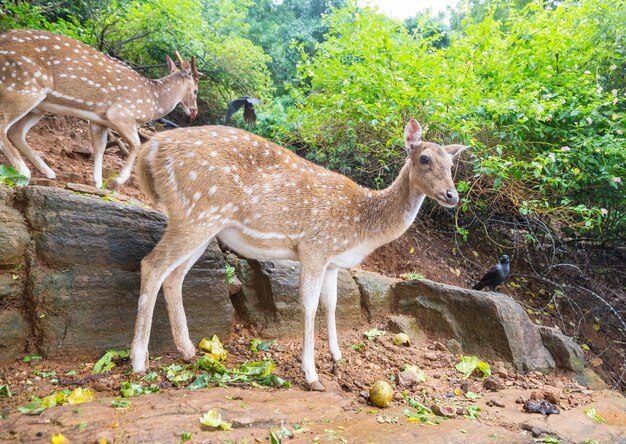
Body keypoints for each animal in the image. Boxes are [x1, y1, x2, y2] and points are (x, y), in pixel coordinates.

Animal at [0, 27, 200, 187]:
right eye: (196, 90)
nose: (194, 111)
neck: (154, 100)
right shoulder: (121, 113)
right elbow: (137, 144)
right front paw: (116, 181)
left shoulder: (100, 120)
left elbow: (100, 147)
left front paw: (97, 183)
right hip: (23, 87)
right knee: (4, 128)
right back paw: (24, 174)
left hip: (39, 106)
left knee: (16, 132)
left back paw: (49, 172)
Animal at [130, 119, 464, 390]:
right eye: (424, 158)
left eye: (451, 164)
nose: (452, 195)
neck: (361, 228)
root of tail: (151, 148)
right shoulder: (315, 247)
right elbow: (309, 306)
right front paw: (312, 375)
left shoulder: (332, 262)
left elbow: (331, 305)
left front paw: (337, 356)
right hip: (197, 212)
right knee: (151, 265)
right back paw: (138, 361)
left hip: (204, 223)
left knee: (174, 275)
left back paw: (187, 350)